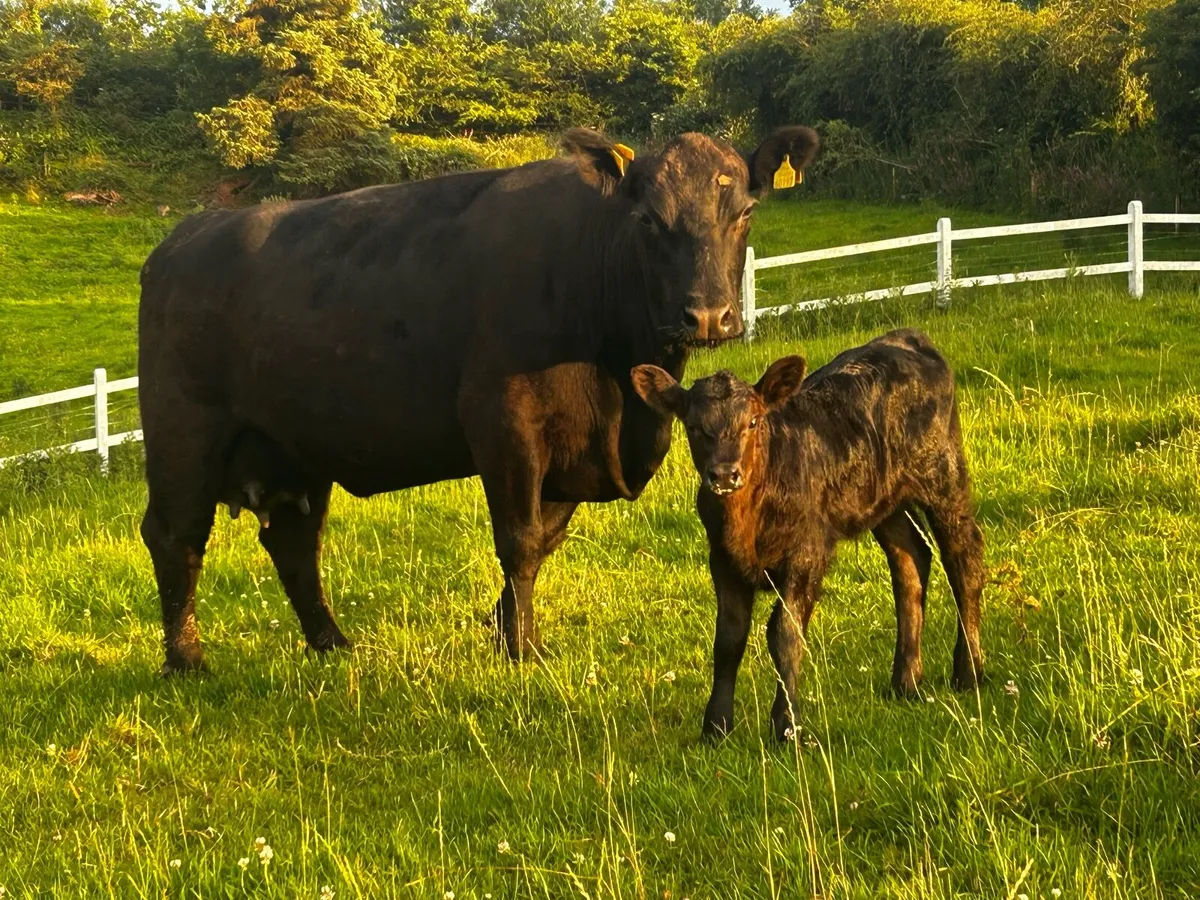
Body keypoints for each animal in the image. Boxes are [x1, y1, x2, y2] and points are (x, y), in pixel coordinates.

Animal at [138, 125, 819, 674]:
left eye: (745, 212)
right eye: (648, 219)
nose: (708, 315)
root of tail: (183, 238)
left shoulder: (568, 453)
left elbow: (543, 539)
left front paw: (502, 629)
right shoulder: (504, 421)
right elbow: (518, 539)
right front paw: (521, 648)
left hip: (293, 447)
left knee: (294, 542)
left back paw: (330, 642)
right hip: (183, 435)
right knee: (176, 534)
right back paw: (187, 659)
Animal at [630, 330, 985, 742]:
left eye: (753, 421)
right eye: (693, 426)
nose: (724, 474)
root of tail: (905, 337)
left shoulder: (806, 554)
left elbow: (784, 634)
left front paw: (786, 725)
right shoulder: (722, 560)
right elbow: (728, 640)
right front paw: (716, 728)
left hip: (943, 475)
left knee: (964, 559)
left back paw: (969, 672)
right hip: (885, 501)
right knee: (911, 562)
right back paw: (906, 681)